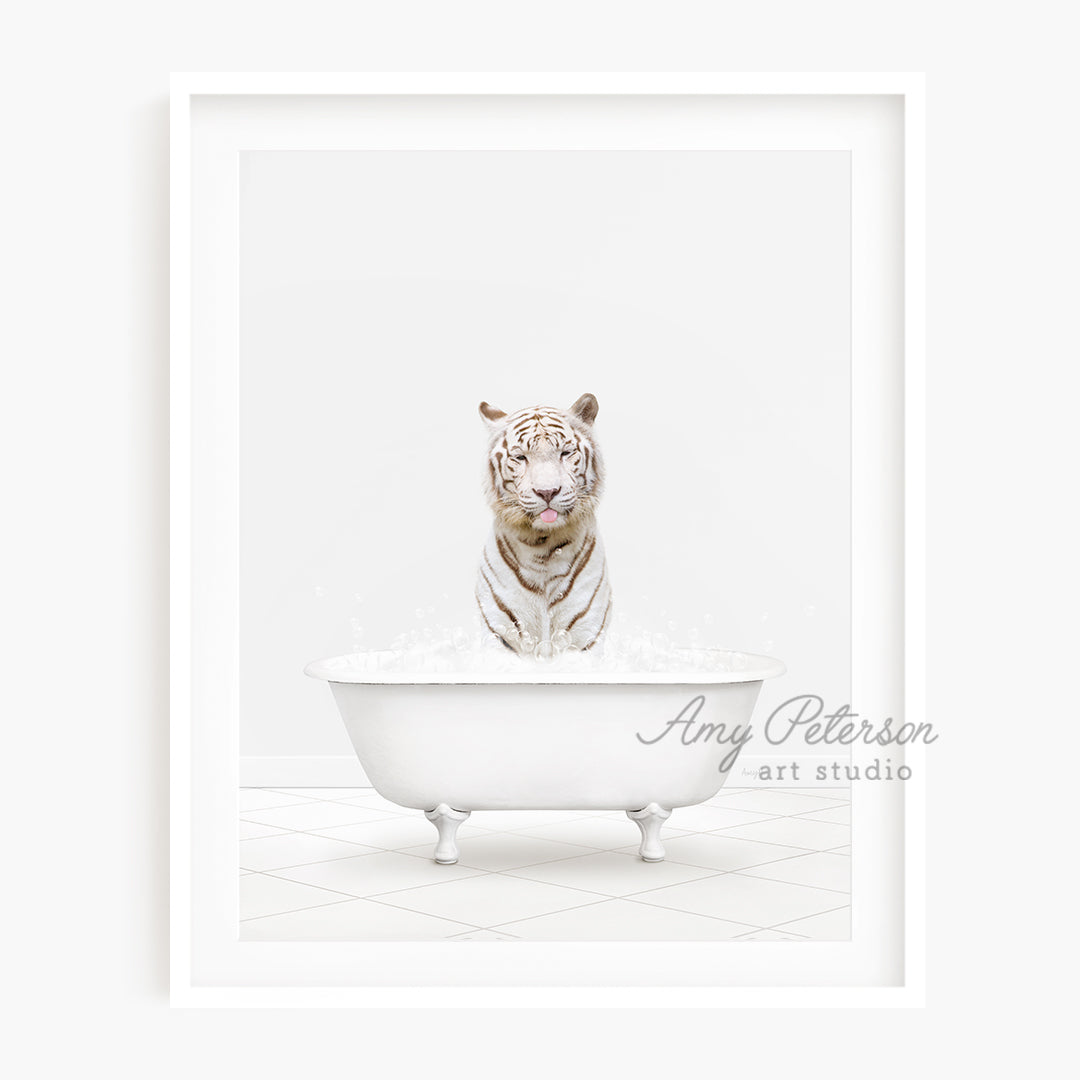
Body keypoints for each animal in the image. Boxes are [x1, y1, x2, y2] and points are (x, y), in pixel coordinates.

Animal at [477, 393, 613, 652]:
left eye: (565, 453)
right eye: (521, 457)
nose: (547, 492)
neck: (542, 546)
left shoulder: (585, 635)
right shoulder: (501, 633)